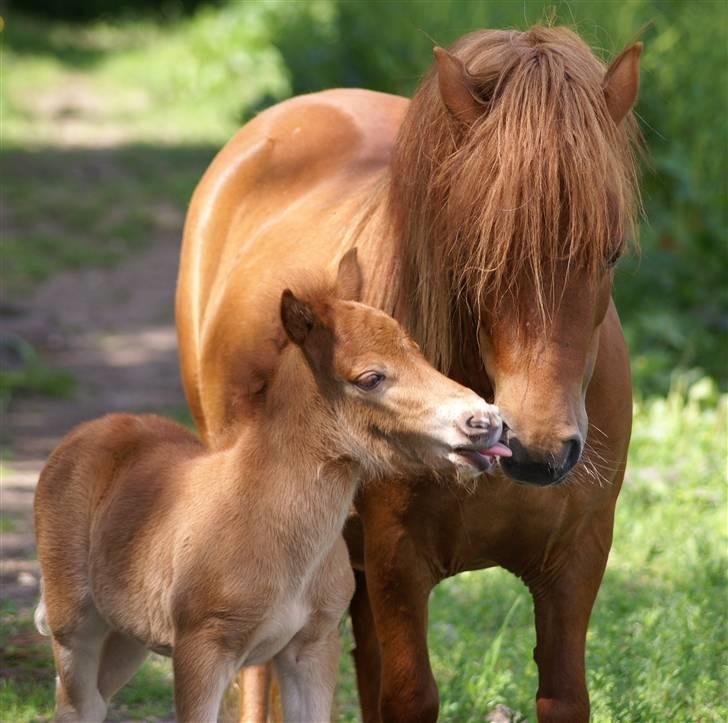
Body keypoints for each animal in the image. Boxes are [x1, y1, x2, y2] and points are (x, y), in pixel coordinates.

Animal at [32, 252, 506, 720]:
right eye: (370, 378)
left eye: (418, 353)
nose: (486, 421)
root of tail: (85, 433)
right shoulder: (202, 649)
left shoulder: (313, 644)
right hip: (74, 623)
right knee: (75, 702)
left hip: (126, 634)